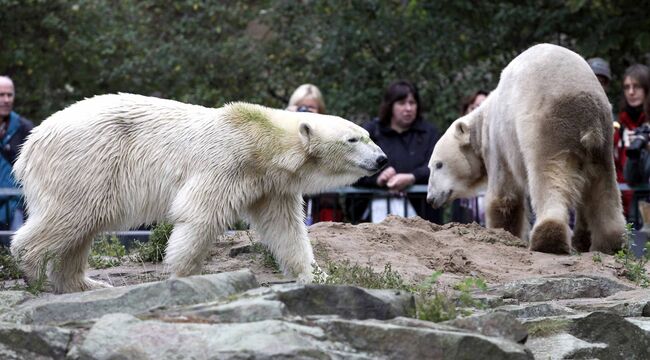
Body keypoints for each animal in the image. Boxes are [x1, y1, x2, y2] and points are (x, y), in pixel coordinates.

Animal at [11, 94, 384, 294]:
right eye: (353, 139)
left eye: (368, 135)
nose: (382, 159)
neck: (258, 138)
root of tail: (29, 144)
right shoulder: (227, 162)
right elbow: (200, 213)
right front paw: (184, 275)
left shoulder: (269, 184)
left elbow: (284, 228)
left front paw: (318, 276)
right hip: (87, 159)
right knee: (73, 214)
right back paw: (32, 270)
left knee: (83, 225)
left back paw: (84, 284)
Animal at [426, 43, 624, 255]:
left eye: (438, 164)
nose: (430, 198)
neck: (484, 119)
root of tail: (585, 113)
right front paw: (583, 240)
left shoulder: (499, 142)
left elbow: (505, 196)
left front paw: (503, 233)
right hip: (602, 142)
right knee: (603, 187)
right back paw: (610, 243)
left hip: (547, 129)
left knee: (547, 178)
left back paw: (548, 238)